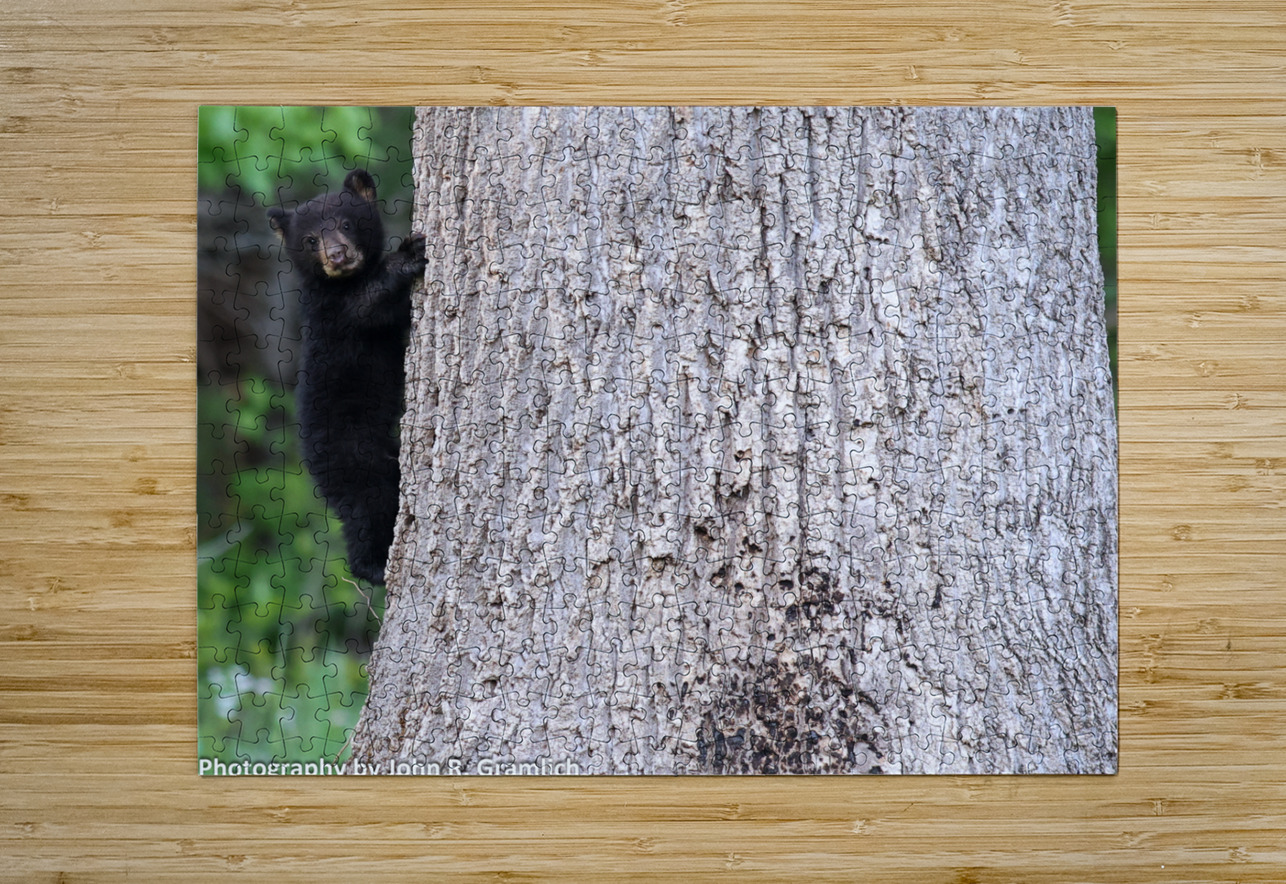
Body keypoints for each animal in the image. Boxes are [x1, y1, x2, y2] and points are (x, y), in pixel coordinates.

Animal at [268, 169, 426, 584]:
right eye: (310, 240)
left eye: (346, 223)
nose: (337, 255)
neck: (340, 282)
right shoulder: (335, 314)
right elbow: (368, 306)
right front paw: (408, 255)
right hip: (354, 455)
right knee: (367, 507)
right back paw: (373, 567)